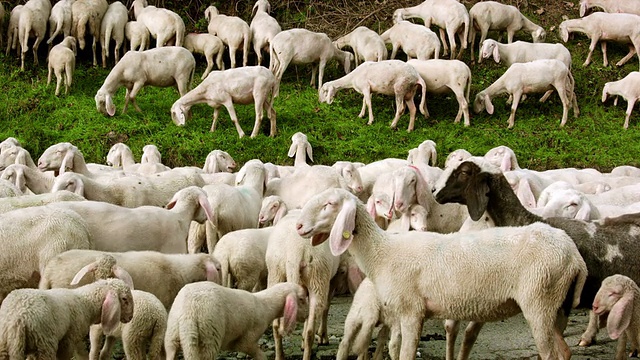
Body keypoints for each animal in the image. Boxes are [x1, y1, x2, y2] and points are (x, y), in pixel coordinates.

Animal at [0, 278, 134, 360]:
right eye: (125, 299)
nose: (130, 317)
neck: (85, 303)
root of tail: (17, 319)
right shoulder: (68, 340)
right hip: (44, 344)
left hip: (5, 345)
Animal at [164, 282, 306, 360]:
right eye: (302, 299)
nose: (306, 316)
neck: (265, 306)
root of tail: (188, 313)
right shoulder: (247, 340)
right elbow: (260, 355)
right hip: (208, 337)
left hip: (172, 335)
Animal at [298, 188, 588, 360]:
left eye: (329, 204)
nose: (299, 226)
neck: (382, 253)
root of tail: (575, 256)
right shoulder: (404, 313)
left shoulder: (411, 311)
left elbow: (405, 354)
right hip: (557, 306)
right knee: (564, 352)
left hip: (539, 300)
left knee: (550, 354)